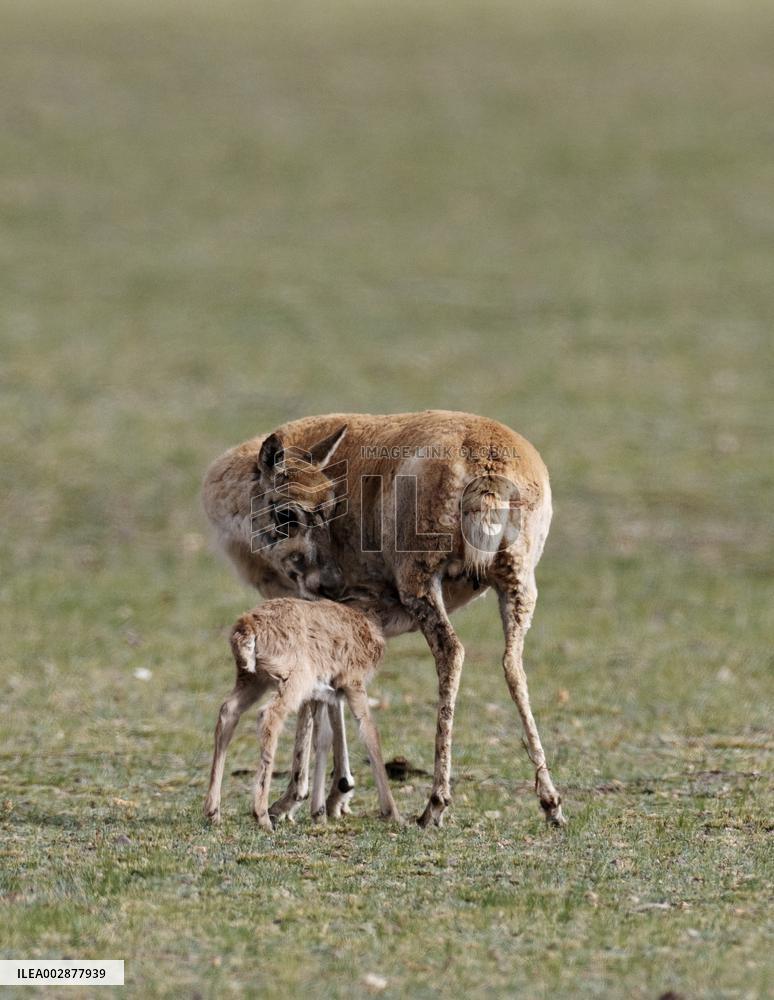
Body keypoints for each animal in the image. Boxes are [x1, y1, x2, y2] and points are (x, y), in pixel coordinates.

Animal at [204, 596, 401, 829]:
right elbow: (369, 732)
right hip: (291, 682)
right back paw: (262, 816)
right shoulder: (353, 683)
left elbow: (323, 738)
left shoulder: (323, 695)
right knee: (269, 716)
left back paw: (213, 812)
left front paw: (319, 812)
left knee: (228, 711)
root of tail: (247, 625)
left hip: (252, 680)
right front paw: (393, 814)